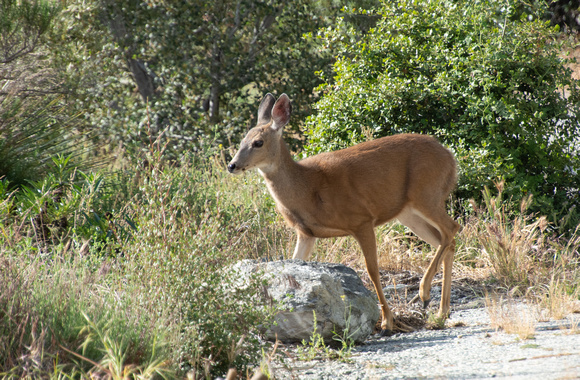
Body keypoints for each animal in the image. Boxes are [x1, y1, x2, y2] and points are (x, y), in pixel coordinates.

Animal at [229, 93, 460, 334]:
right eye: (242, 140)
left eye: (258, 142)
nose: (232, 165)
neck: (307, 188)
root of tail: (451, 157)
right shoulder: (306, 233)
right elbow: (292, 264)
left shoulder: (361, 220)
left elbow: (372, 271)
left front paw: (387, 321)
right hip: (409, 213)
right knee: (446, 240)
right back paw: (442, 312)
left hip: (427, 194)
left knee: (452, 228)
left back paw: (424, 294)